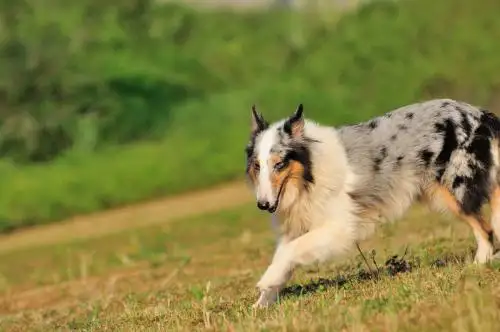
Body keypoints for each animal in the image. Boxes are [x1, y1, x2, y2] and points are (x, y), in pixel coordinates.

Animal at [244, 98, 500, 308]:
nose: (263, 205)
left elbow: (291, 251)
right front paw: (262, 302)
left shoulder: (338, 228)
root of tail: (476, 112)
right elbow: (284, 256)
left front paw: (265, 282)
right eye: (257, 166)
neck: (309, 172)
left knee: (485, 229)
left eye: (279, 164)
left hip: (453, 189)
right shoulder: (295, 227)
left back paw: (478, 263)